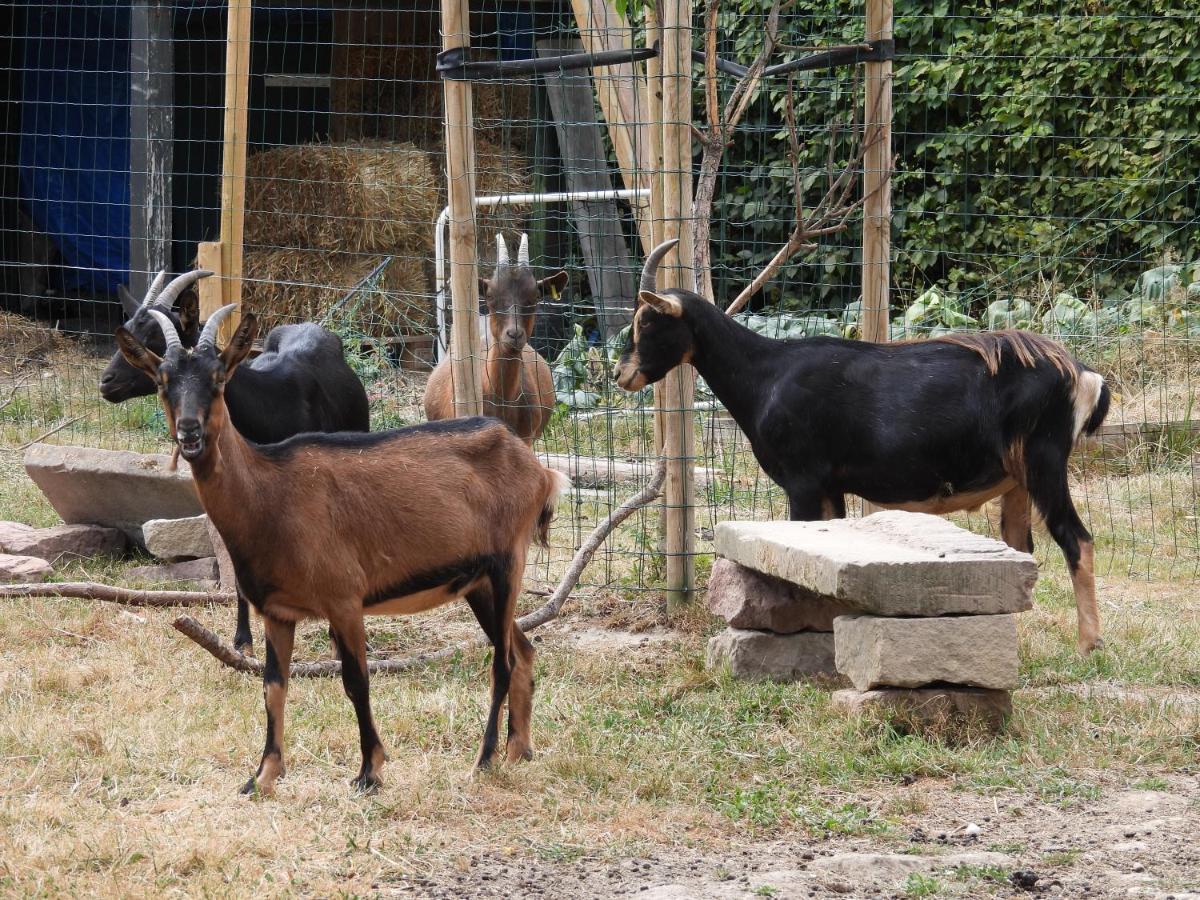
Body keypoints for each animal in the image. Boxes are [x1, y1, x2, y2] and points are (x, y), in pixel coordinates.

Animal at [119, 303, 568, 796]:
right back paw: (518, 750)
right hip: (478, 583)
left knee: (502, 661)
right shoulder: (277, 611)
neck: (270, 493)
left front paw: (369, 772)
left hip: (508, 564)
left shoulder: (344, 599)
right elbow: (273, 686)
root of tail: (538, 469)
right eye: (163, 381)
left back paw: (483, 761)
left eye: (218, 379)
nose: (190, 433)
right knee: (522, 650)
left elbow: (356, 681)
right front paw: (262, 776)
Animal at [624, 237, 1108, 657]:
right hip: (1017, 480)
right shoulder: (829, 486)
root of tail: (1084, 374)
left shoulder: (802, 481)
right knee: (1020, 547)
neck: (767, 375)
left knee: (1076, 540)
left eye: (646, 321)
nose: (620, 374)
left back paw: (1087, 646)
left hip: (1044, 461)